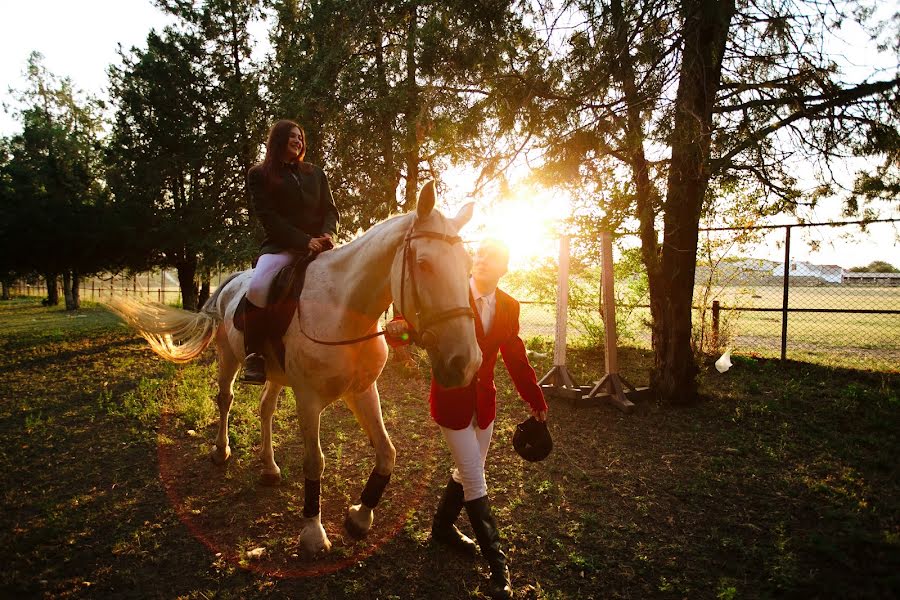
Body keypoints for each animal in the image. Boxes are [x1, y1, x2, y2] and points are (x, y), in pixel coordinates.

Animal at [108, 182, 482, 552]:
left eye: (468, 266)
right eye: (424, 264)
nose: (466, 362)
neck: (343, 310)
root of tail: (231, 283)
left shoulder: (362, 391)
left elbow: (386, 452)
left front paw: (360, 517)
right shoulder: (309, 400)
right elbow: (314, 461)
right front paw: (313, 533)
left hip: (275, 374)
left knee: (265, 408)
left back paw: (270, 468)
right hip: (228, 358)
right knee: (225, 399)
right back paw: (221, 450)